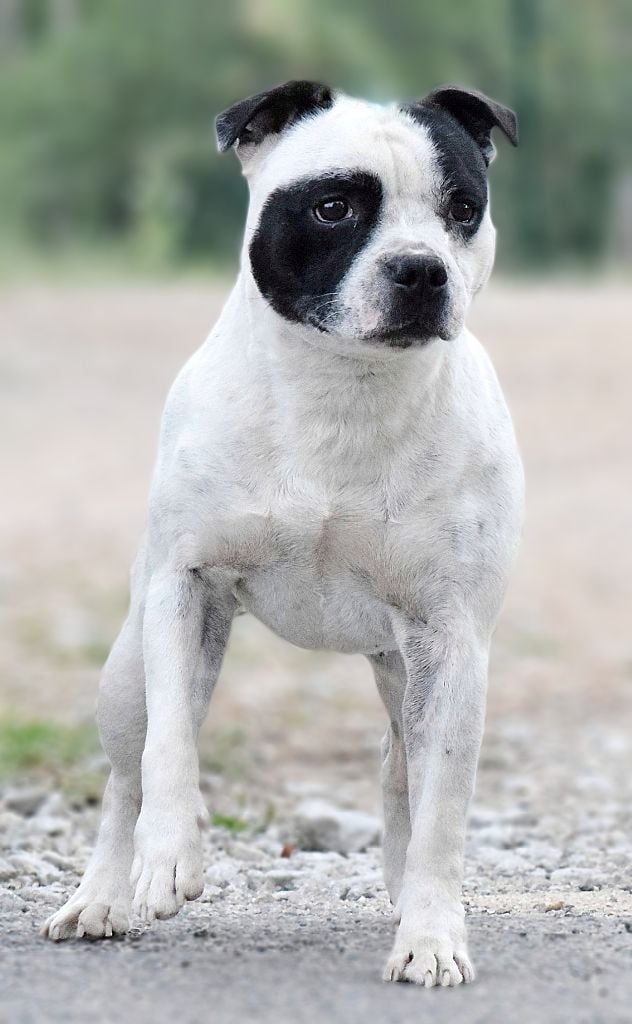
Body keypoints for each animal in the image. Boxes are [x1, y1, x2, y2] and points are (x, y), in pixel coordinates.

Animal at [42, 80, 524, 988]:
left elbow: (442, 810)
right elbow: (169, 749)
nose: (421, 268)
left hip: (406, 671)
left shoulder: (453, 641)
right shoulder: (184, 589)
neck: (342, 386)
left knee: (402, 773)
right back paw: (102, 895)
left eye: (462, 209)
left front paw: (432, 935)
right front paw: (172, 856)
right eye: (334, 207)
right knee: (128, 771)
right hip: (126, 669)